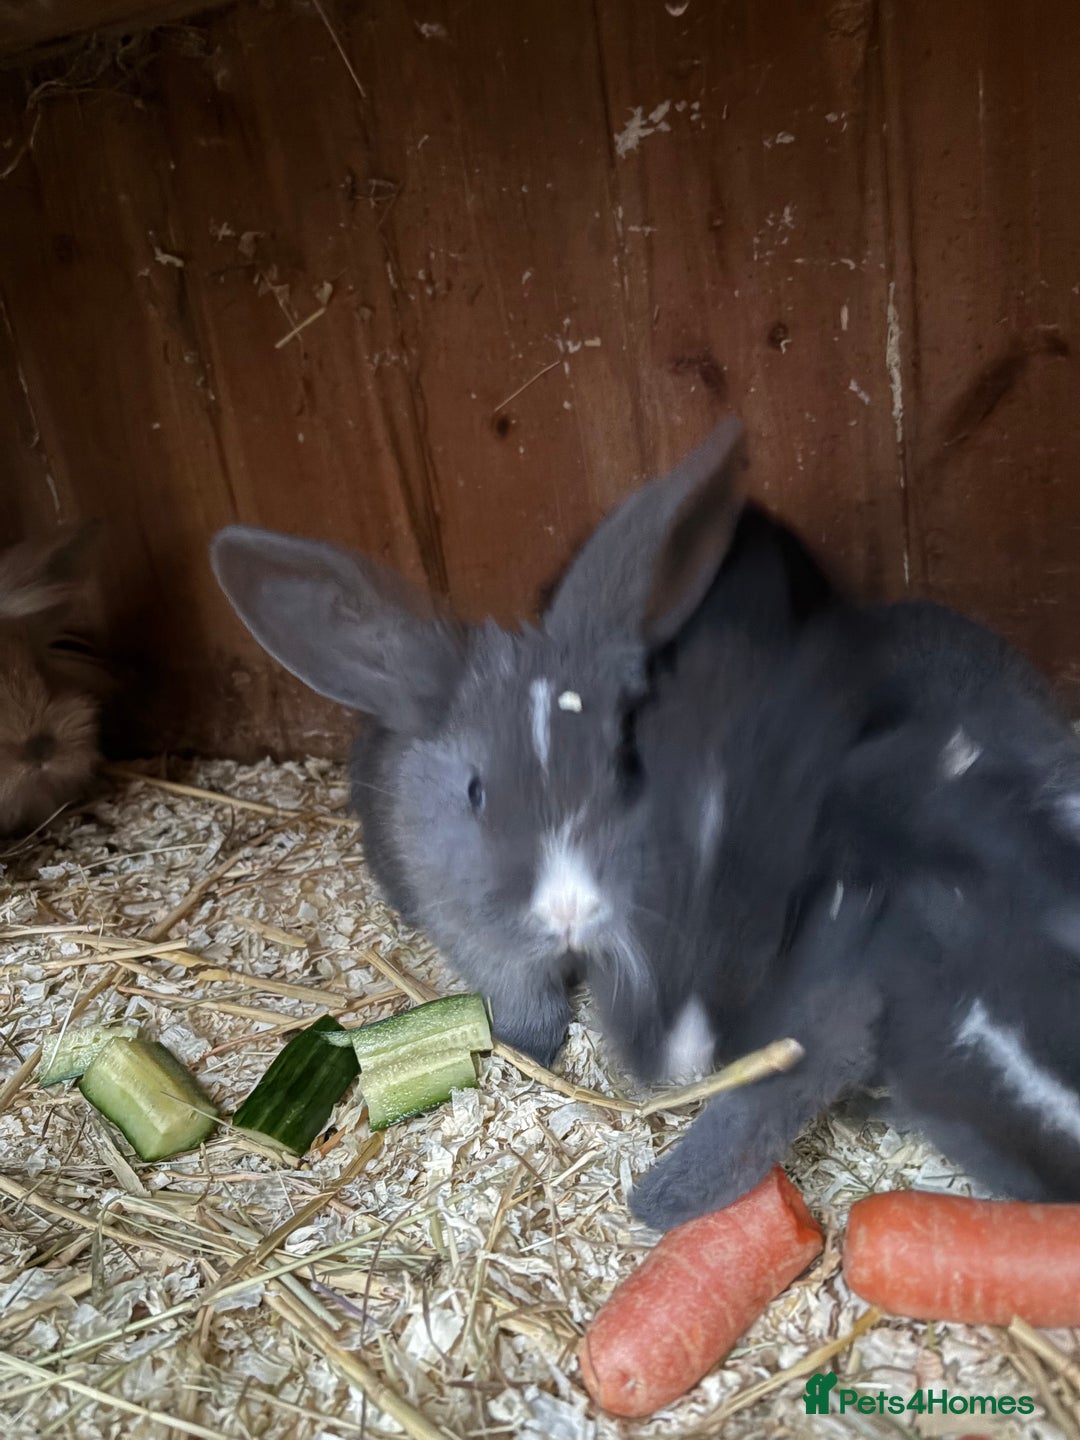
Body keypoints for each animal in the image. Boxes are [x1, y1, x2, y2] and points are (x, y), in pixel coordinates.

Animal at [211, 417, 837, 1065]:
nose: (570, 907)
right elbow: (523, 995)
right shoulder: (475, 934)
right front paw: (531, 1048)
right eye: (474, 791)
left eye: (626, 766)